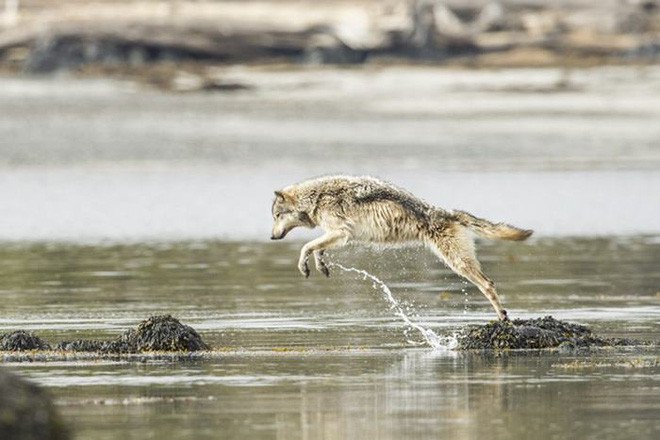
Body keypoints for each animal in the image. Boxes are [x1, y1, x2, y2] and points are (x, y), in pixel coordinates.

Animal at [270, 175, 532, 321]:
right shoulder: (338, 235)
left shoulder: (341, 232)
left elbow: (306, 247)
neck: (316, 197)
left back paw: (502, 316)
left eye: (276, 216)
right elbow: (317, 249)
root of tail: (448, 212)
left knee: (489, 284)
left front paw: (304, 266)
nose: (271, 237)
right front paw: (320, 266)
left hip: (458, 263)